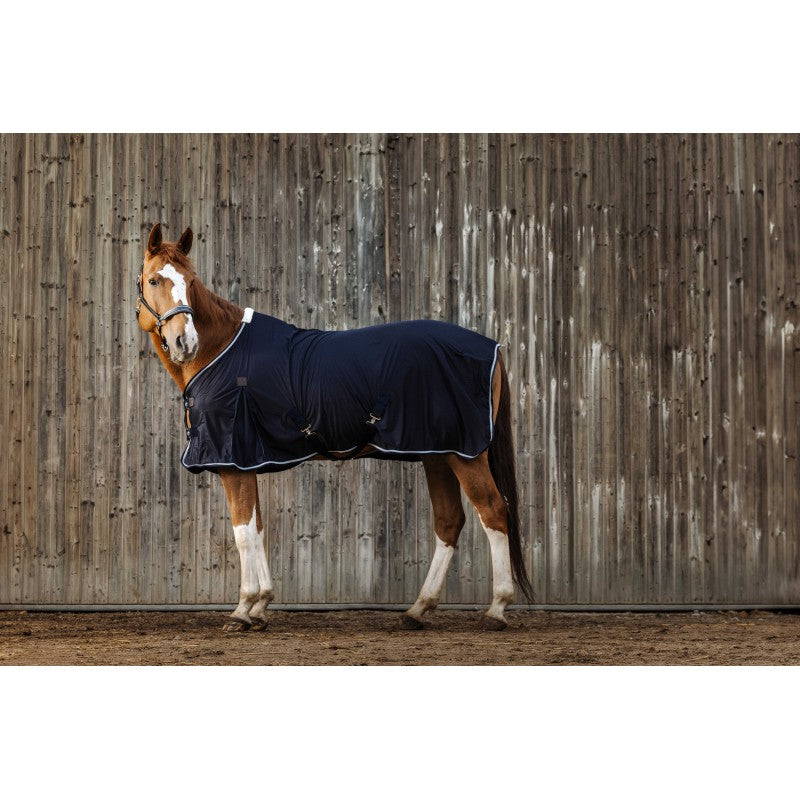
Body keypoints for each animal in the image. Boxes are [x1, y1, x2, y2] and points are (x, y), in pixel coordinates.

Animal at [136, 223, 533, 631]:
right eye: (153, 280)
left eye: (191, 281)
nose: (184, 341)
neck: (221, 350)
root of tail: (491, 348)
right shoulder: (247, 461)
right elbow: (258, 529)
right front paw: (261, 606)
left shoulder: (234, 463)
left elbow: (243, 533)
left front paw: (243, 610)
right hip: (437, 454)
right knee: (449, 521)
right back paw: (418, 610)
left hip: (464, 454)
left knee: (493, 511)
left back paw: (497, 609)